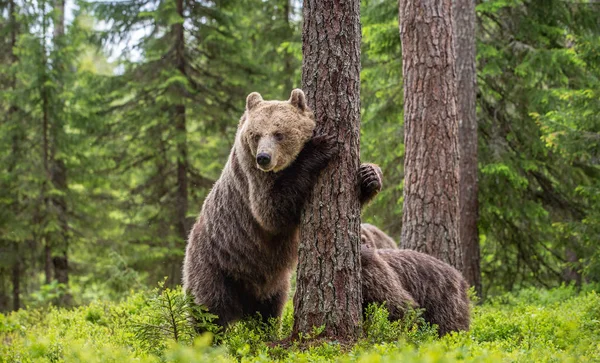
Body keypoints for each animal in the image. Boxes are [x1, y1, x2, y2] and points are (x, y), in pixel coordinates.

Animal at [180, 89, 382, 328]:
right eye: (256, 135)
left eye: (279, 133)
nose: (263, 157)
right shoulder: (253, 180)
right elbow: (272, 212)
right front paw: (320, 146)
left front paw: (369, 175)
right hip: (214, 264)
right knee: (210, 310)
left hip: (271, 282)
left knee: (268, 310)